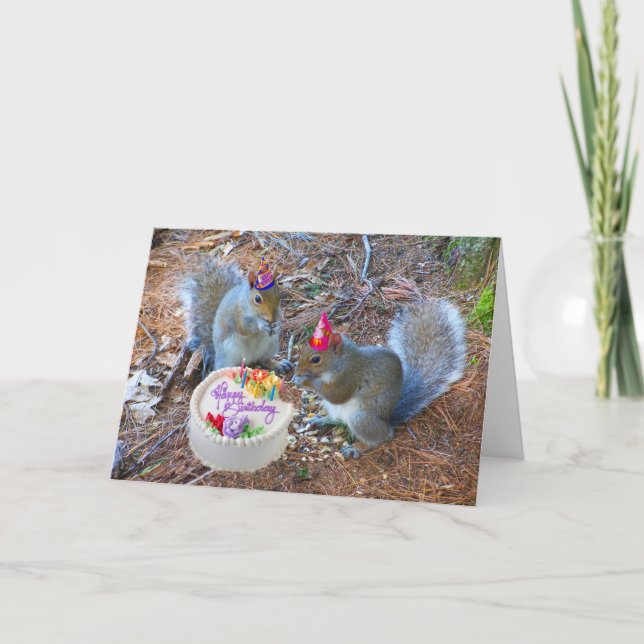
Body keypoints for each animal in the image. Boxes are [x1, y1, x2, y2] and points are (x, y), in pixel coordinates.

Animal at [293, 299, 466, 459]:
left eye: (316, 359)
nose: (298, 371)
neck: (341, 361)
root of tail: (387, 421)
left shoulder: (350, 376)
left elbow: (337, 395)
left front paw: (305, 380)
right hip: (337, 410)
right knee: (340, 420)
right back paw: (323, 420)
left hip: (361, 418)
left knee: (381, 437)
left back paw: (356, 448)